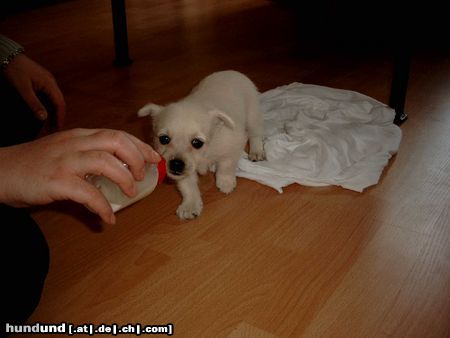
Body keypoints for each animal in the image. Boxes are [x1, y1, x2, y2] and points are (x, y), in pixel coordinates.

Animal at [137, 70, 264, 219]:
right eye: (164, 139)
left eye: (197, 143)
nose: (176, 164)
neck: (205, 153)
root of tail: (232, 72)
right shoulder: (184, 172)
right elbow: (188, 186)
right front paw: (190, 204)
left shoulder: (233, 143)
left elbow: (226, 165)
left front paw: (225, 182)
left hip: (252, 116)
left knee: (256, 134)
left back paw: (256, 151)